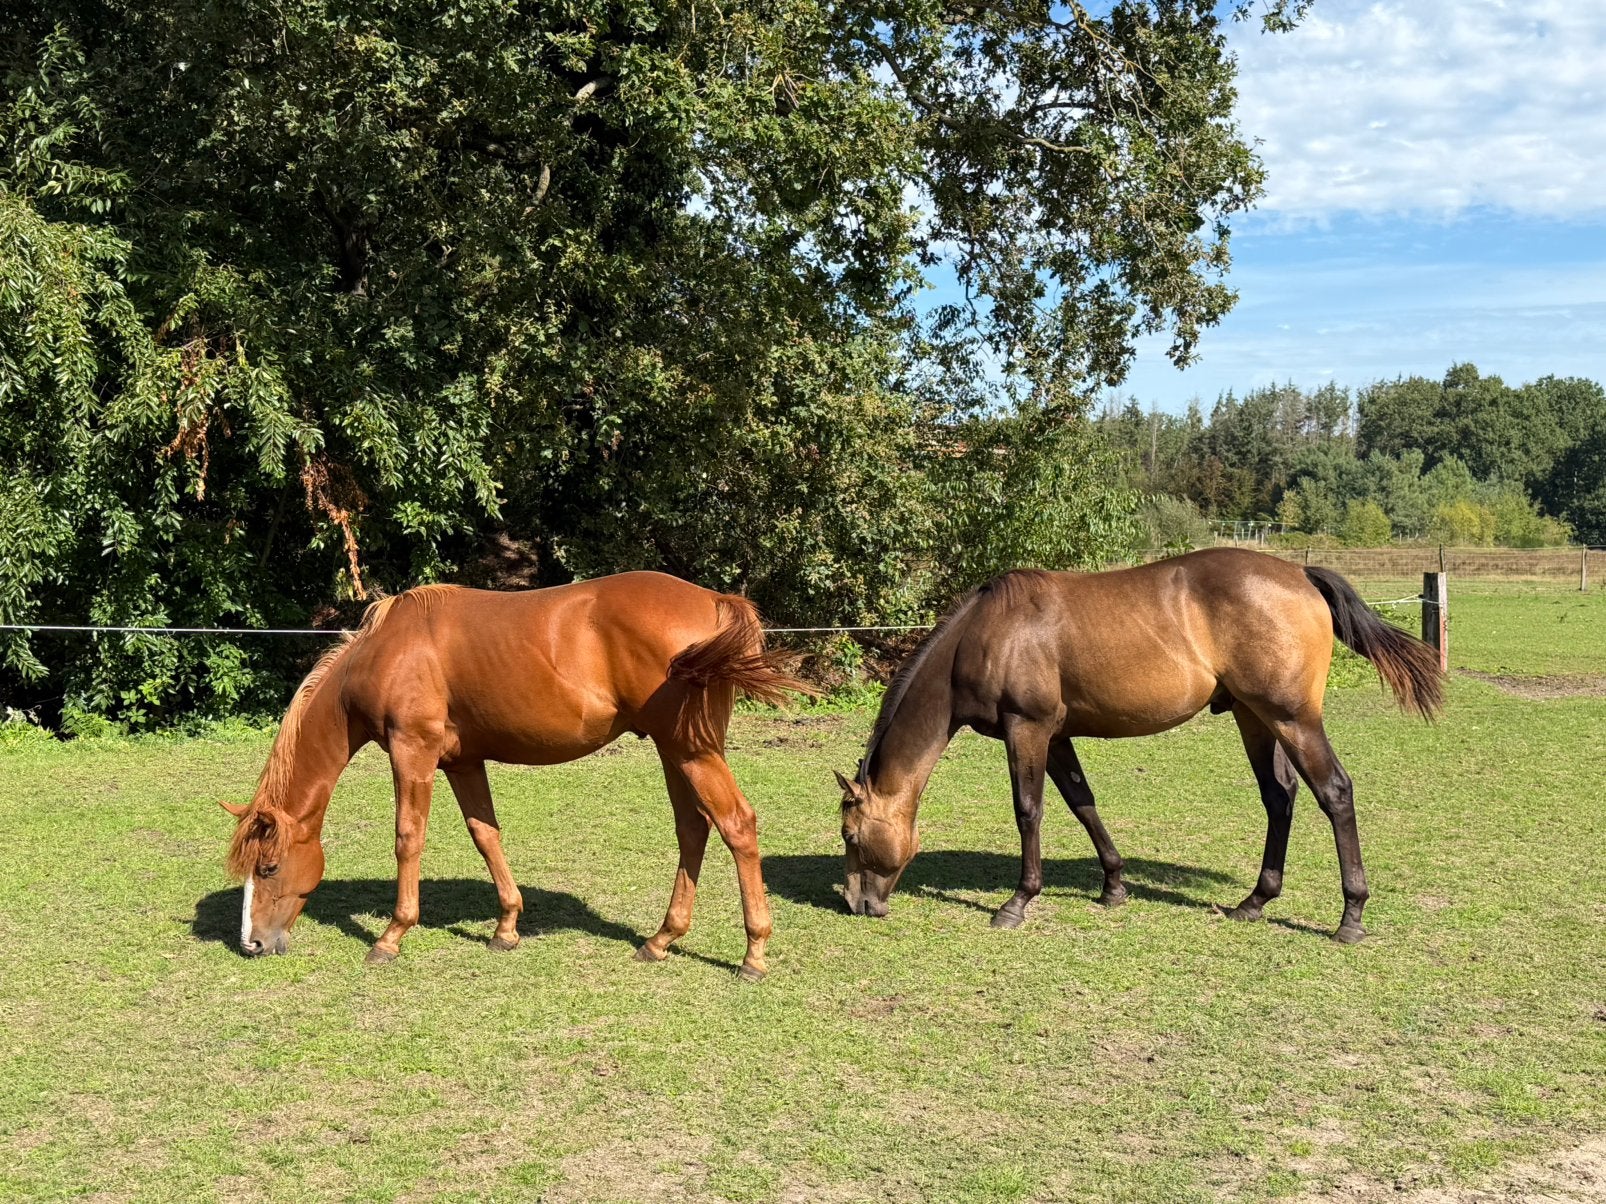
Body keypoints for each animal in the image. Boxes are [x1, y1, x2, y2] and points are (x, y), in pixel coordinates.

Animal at [223, 572, 809, 981]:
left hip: (691, 751)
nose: (251, 943)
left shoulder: (413, 752)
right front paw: (506, 928)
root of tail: (715, 602)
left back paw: (753, 954)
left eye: (270, 868)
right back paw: (661, 939)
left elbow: (408, 838)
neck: (386, 651)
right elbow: (485, 835)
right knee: (693, 828)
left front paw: (391, 936)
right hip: (676, 751)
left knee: (736, 825)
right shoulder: (461, 761)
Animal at [834, 547, 1444, 943]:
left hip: (1292, 718)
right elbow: (1082, 803)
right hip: (1255, 717)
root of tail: (1300, 573)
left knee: (1334, 792)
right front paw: (1114, 885)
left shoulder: (1026, 728)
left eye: (850, 835)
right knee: (1279, 797)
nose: (856, 903)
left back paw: (1351, 917)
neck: (984, 635)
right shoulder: (1057, 735)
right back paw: (1254, 901)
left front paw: (1017, 902)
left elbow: (1029, 811)